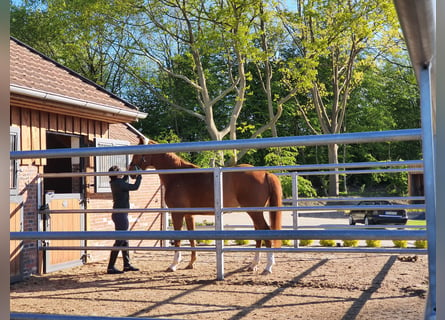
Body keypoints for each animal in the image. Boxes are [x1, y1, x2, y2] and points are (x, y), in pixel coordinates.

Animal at [128, 139, 280, 274]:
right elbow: (191, 238)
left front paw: (173, 265)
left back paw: (268, 267)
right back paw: (253, 265)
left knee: (265, 231)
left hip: (254, 211)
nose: (131, 172)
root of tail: (265, 173)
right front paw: (191, 263)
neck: (177, 176)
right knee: (259, 233)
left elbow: (177, 239)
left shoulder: (177, 214)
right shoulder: (189, 215)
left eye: (137, 154)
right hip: (254, 211)